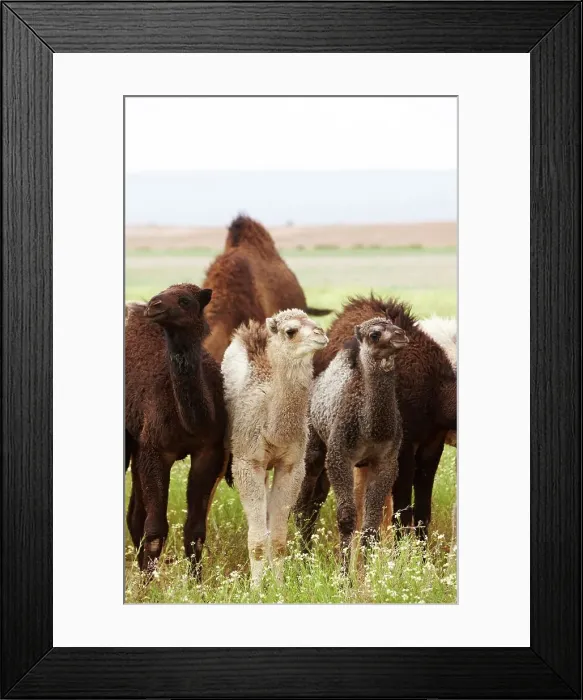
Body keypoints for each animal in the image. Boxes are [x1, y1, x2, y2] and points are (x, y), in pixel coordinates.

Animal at [125, 283, 228, 577]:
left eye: (185, 300)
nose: (154, 305)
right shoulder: (156, 451)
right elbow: (155, 529)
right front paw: (148, 585)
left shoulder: (209, 451)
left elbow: (195, 530)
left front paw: (197, 583)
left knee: (134, 513)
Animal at [221, 309, 328, 586]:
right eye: (290, 331)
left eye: (313, 321)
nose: (321, 333)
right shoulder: (247, 463)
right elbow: (257, 541)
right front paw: (256, 589)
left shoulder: (291, 465)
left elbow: (279, 539)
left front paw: (280, 586)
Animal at [297, 315, 409, 572]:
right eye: (375, 334)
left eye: (396, 326)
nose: (401, 336)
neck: (371, 428)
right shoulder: (340, 456)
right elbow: (346, 518)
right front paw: (344, 575)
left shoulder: (386, 461)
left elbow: (371, 523)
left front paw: (369, 575)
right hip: (314, 449)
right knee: (301, 507)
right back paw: (300, 562)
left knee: (313, 506)